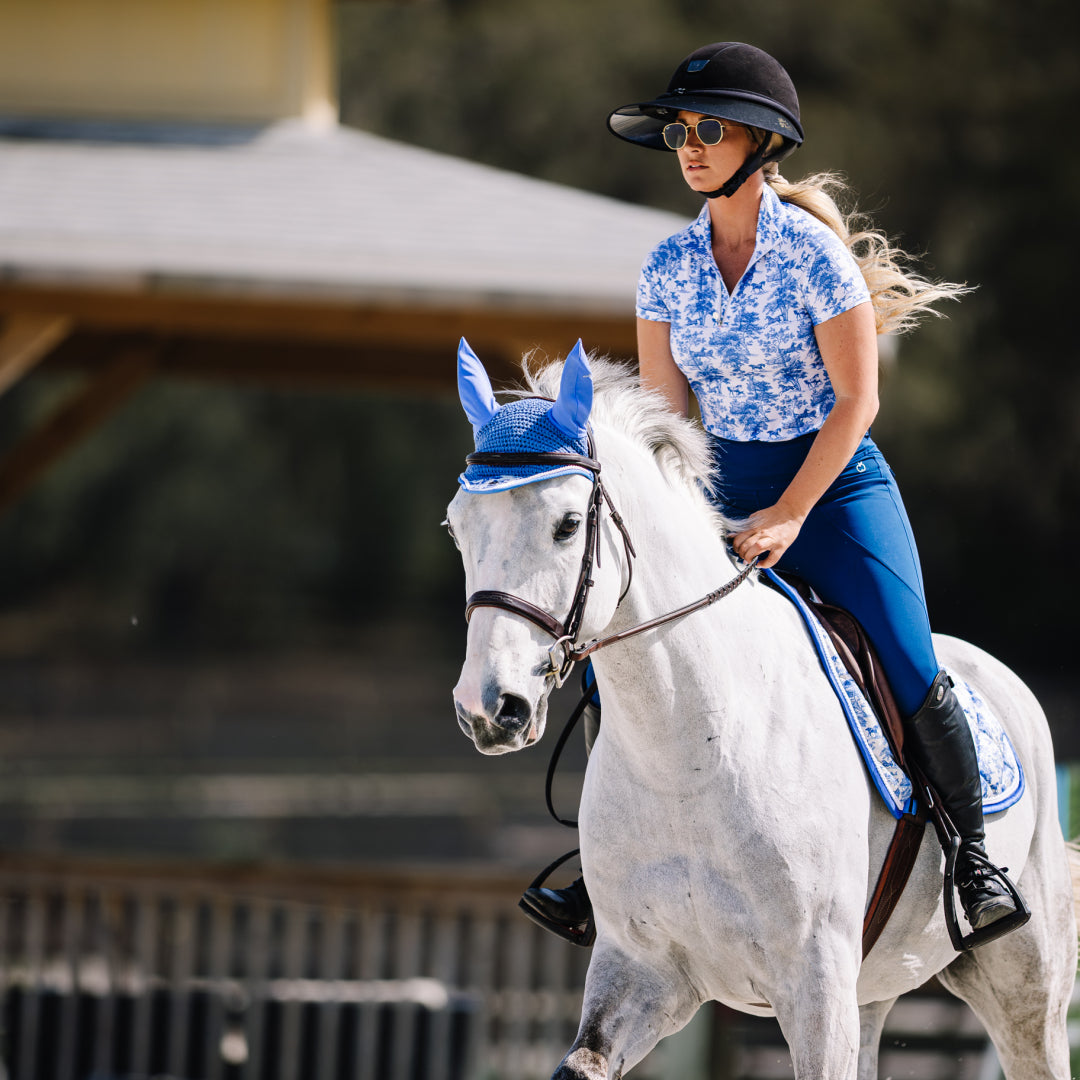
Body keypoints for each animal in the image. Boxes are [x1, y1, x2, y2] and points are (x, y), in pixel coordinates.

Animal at [446, 342, 1079, 1080]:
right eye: (457, 527)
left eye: (568, 524)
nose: (489, 709)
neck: (689, 755)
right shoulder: (640, 973)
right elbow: (583, 1060)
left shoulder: (815, 986)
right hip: (871, 992)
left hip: (1021, 986)